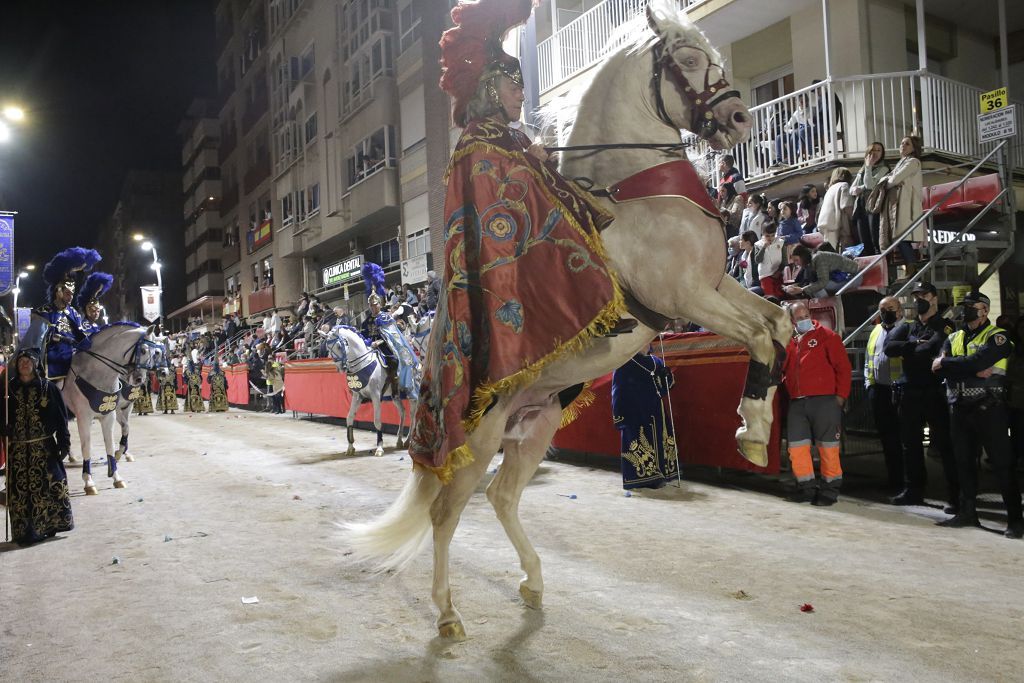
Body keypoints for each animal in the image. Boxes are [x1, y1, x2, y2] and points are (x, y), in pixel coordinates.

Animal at [62, 323, 149, 493]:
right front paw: (89, 482)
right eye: (143, 350)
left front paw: (117, 476)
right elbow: (87, 447)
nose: (139, 379)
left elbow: (112, 442)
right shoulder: (84, 417)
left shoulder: (111, 414)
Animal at [321, 327, 413, 458]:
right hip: (395, 395)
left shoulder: (376, 395)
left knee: (413, 413)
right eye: (328, 348)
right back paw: (400, 441)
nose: (340, 369)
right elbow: (349, 418)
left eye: (339, 346)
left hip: (412, 393)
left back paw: (408, 440)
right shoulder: (357, 396)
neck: (363, 364)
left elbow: (377, 421)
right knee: (402, 412)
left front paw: (379, 448)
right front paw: (350, 447)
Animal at [348, 2, 786, 638]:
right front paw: (751, 432)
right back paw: (448, 612)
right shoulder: (685, 297)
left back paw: (532, 581)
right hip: (478, 438)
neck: (639, 196)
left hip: (536, 424)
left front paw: (755, 428)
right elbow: (757, 335)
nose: (737, 118)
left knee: (502, 497)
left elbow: (778, 325)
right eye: (685, 59)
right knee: (446, 511)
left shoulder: (715, 285)